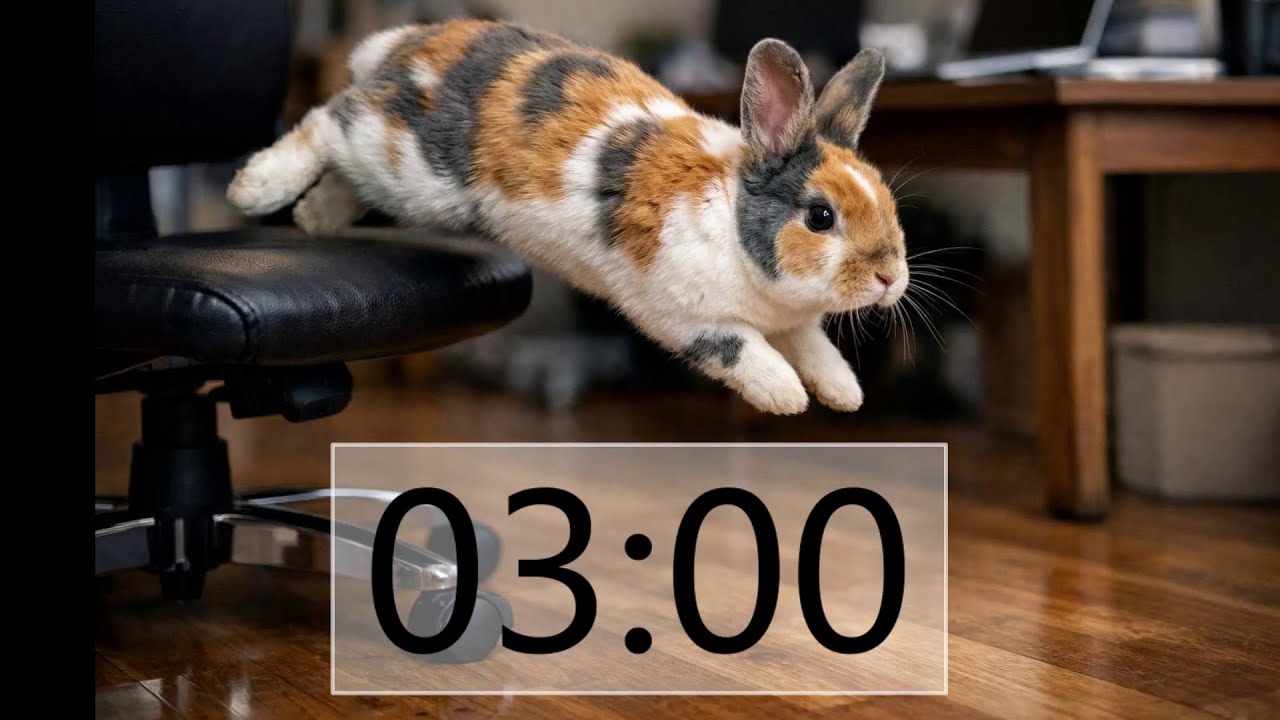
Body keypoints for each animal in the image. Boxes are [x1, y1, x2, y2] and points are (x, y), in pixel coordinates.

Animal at [227, 19, 909, 415]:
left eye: (887, 200)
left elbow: (814, 345)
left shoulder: (793, 320)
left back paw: (314, 217)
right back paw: (255, 187)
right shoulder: (681, 313)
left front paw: (845, 393)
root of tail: (407, 44)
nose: (890, 278)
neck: (736, 216)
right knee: (330, 119)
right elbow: (741, 349)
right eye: (819, 216)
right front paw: (785, 396)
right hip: (409, 162)